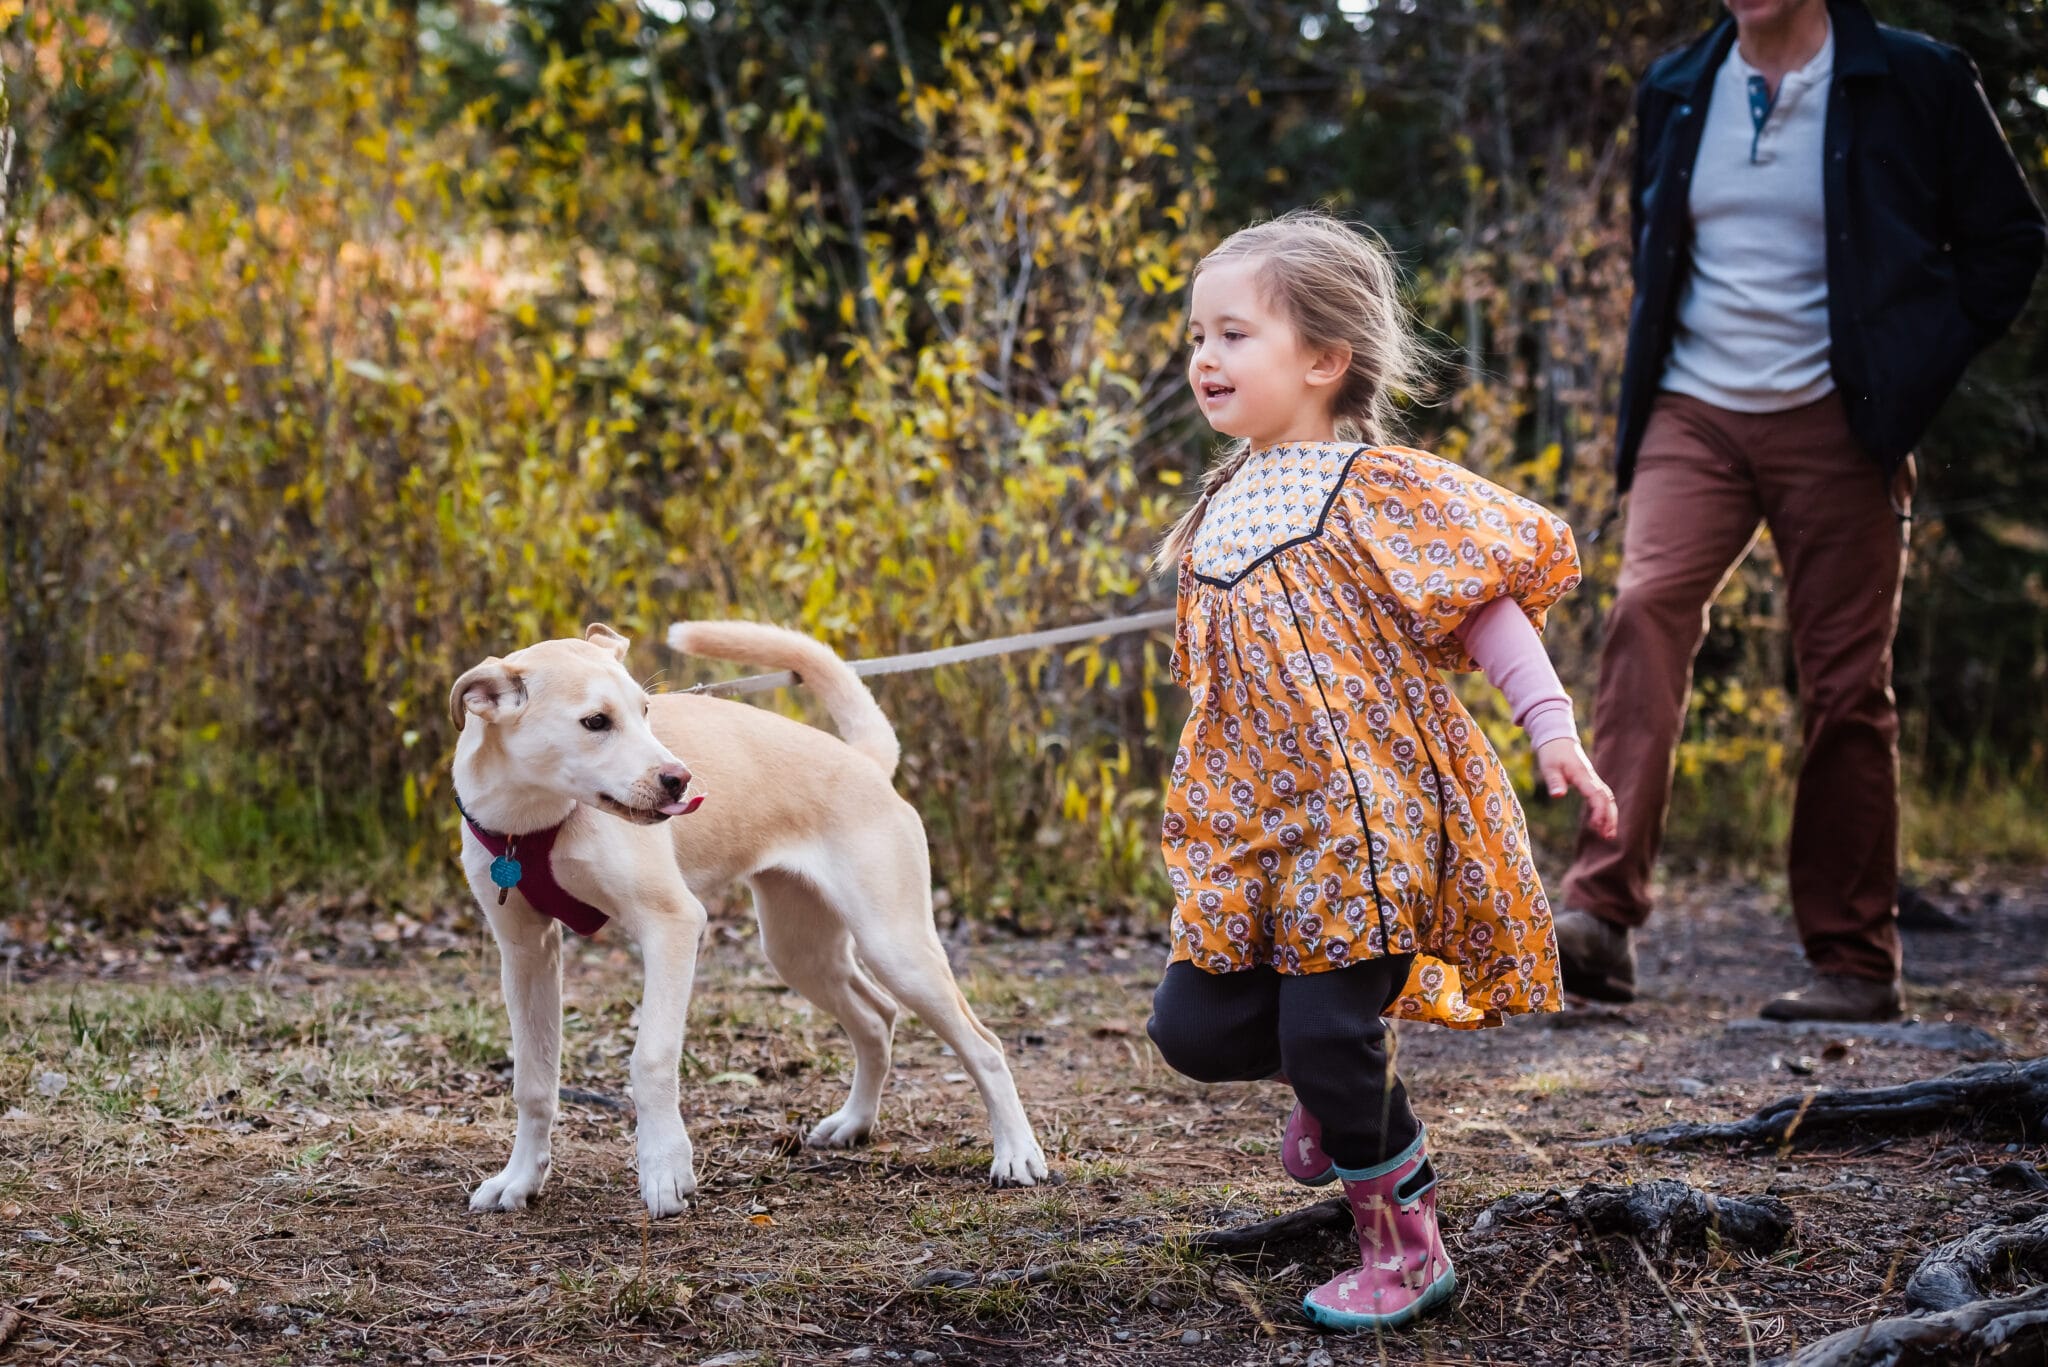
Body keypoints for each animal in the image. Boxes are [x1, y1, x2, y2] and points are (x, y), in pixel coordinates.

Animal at [454, 623, 1048, 1221]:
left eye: (645, 711)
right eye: (596, 722)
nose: (680, 780)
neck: (533, 819)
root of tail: (863, 761)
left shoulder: (672, 926)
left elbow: (651, 1059)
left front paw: (665, 1170)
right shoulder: (526, 953)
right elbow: (533, 1084)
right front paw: (519, 1180)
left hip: (896, 947)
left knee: (984, 1046)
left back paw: (1016, 1153)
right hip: (799, 951)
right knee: (877, 1017)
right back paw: (855, 1123)